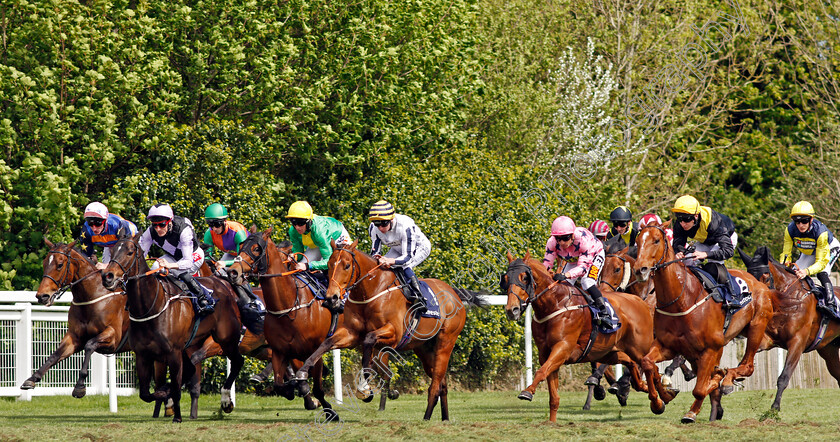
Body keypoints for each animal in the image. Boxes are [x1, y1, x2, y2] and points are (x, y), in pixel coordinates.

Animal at [101, 233, 244, 424]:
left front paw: (177, 415)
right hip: (194, 344)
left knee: (237, 361)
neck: (151, 306)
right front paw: (165, 396)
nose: (107, 276)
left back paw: (226, 401)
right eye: (112, 251)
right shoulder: (143, 355)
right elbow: (146, 394)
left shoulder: (174, 353)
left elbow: (175, 388)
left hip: (226, 338)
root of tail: (224, 284)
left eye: (130, 252)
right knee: (192, 367)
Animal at [290, 240, 486, 420]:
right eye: (329, 265)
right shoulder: (352, 334)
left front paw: (364, 387)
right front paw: (302, 372)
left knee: (436, 383)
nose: (332, 298)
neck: (372, 290)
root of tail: (454, 293)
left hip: (445, 342)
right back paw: (444, 418)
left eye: (346, 265)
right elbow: (326, 343)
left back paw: (426, 417)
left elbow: (369, 340)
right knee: (442, 384)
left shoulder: (394, 334)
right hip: (424, 349)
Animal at [502, 252, 672, 422]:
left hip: (639, 348)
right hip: (608, 352)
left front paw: (527, 391)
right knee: (632, 363)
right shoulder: (546, 353)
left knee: (651, 367)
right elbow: (552, 391)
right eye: (506, 278)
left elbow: (541, 372)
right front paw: (551, 421)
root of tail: (639, 301)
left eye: (525, 277)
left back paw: (660, 400)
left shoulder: (563, 348)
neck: (555, 303)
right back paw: (647, 391)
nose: (512, 309)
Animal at [632, 226, 772, 424]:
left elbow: (700, 388)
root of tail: (758, 282)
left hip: (755, 328)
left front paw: (691, 412)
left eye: (656, 240)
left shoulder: (710, 348)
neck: (681, 300)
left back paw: (726, 382)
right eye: (637, 242)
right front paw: (660, 400)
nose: (640, 270)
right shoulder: (668, 345)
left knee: (747, 367)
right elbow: (647, 363)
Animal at [740, 247, 840, 410]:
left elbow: (784, 376)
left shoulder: (797, 343)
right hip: (829, 350)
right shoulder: (768, 340)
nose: (755, 301)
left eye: (765, 277)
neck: (788, 301)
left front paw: (775, 407)